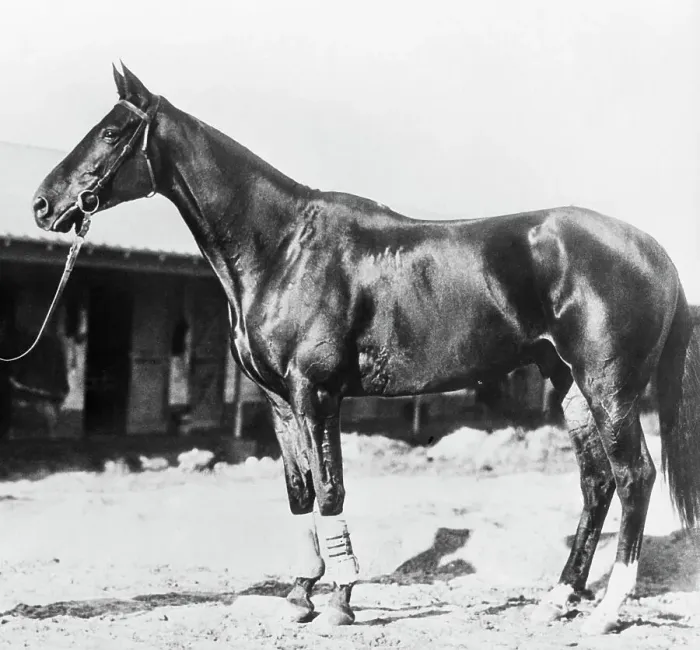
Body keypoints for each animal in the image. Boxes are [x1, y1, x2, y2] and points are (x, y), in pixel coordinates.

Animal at [32, 64, 700, 634]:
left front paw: (340, 602)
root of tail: (654, 250)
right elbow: (300, 492)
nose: (42, 203)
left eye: (111, 132)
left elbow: (332, 491)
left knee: (634, 476)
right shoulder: (279, 400)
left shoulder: (317, 394)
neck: (283, 247)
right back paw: (558, 599)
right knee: (597, 482)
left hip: (608, 387)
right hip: (568, 385)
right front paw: (300, 594)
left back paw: (605, 610)